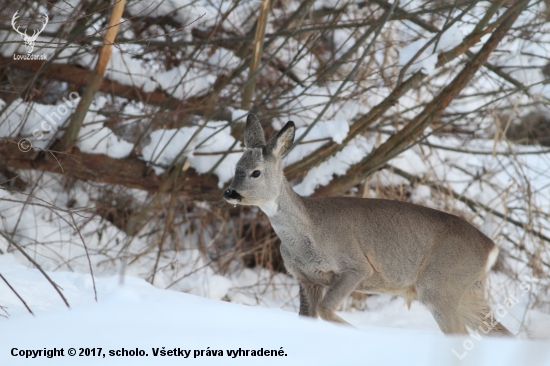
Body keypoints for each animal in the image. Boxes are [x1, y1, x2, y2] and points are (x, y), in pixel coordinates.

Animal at [222, 113, 516, 336]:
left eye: (255, 172)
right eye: (235, 167)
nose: (230, 193)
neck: (307, 234)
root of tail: (492, 249)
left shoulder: (356, 266)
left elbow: (326, 310)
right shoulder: (305, 279)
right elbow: (309, 317)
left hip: (441, 285)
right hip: (467, 291)